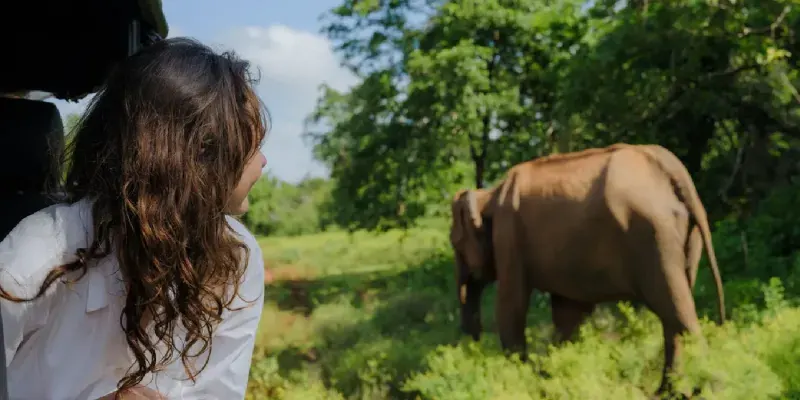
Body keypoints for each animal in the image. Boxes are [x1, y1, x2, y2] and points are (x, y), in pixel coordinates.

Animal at [449, 143, 725, 397]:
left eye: (455, 243)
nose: (473, 344)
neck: (489, 195)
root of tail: (672, 169)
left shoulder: (508, 237)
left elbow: (511, 304)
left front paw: (526, 383)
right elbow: (568, 313)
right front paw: (552, 379)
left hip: (653, 236)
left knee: (675, 310)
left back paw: (711, 389)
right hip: (683, 235)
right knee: (673, 313)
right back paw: (671, 392)